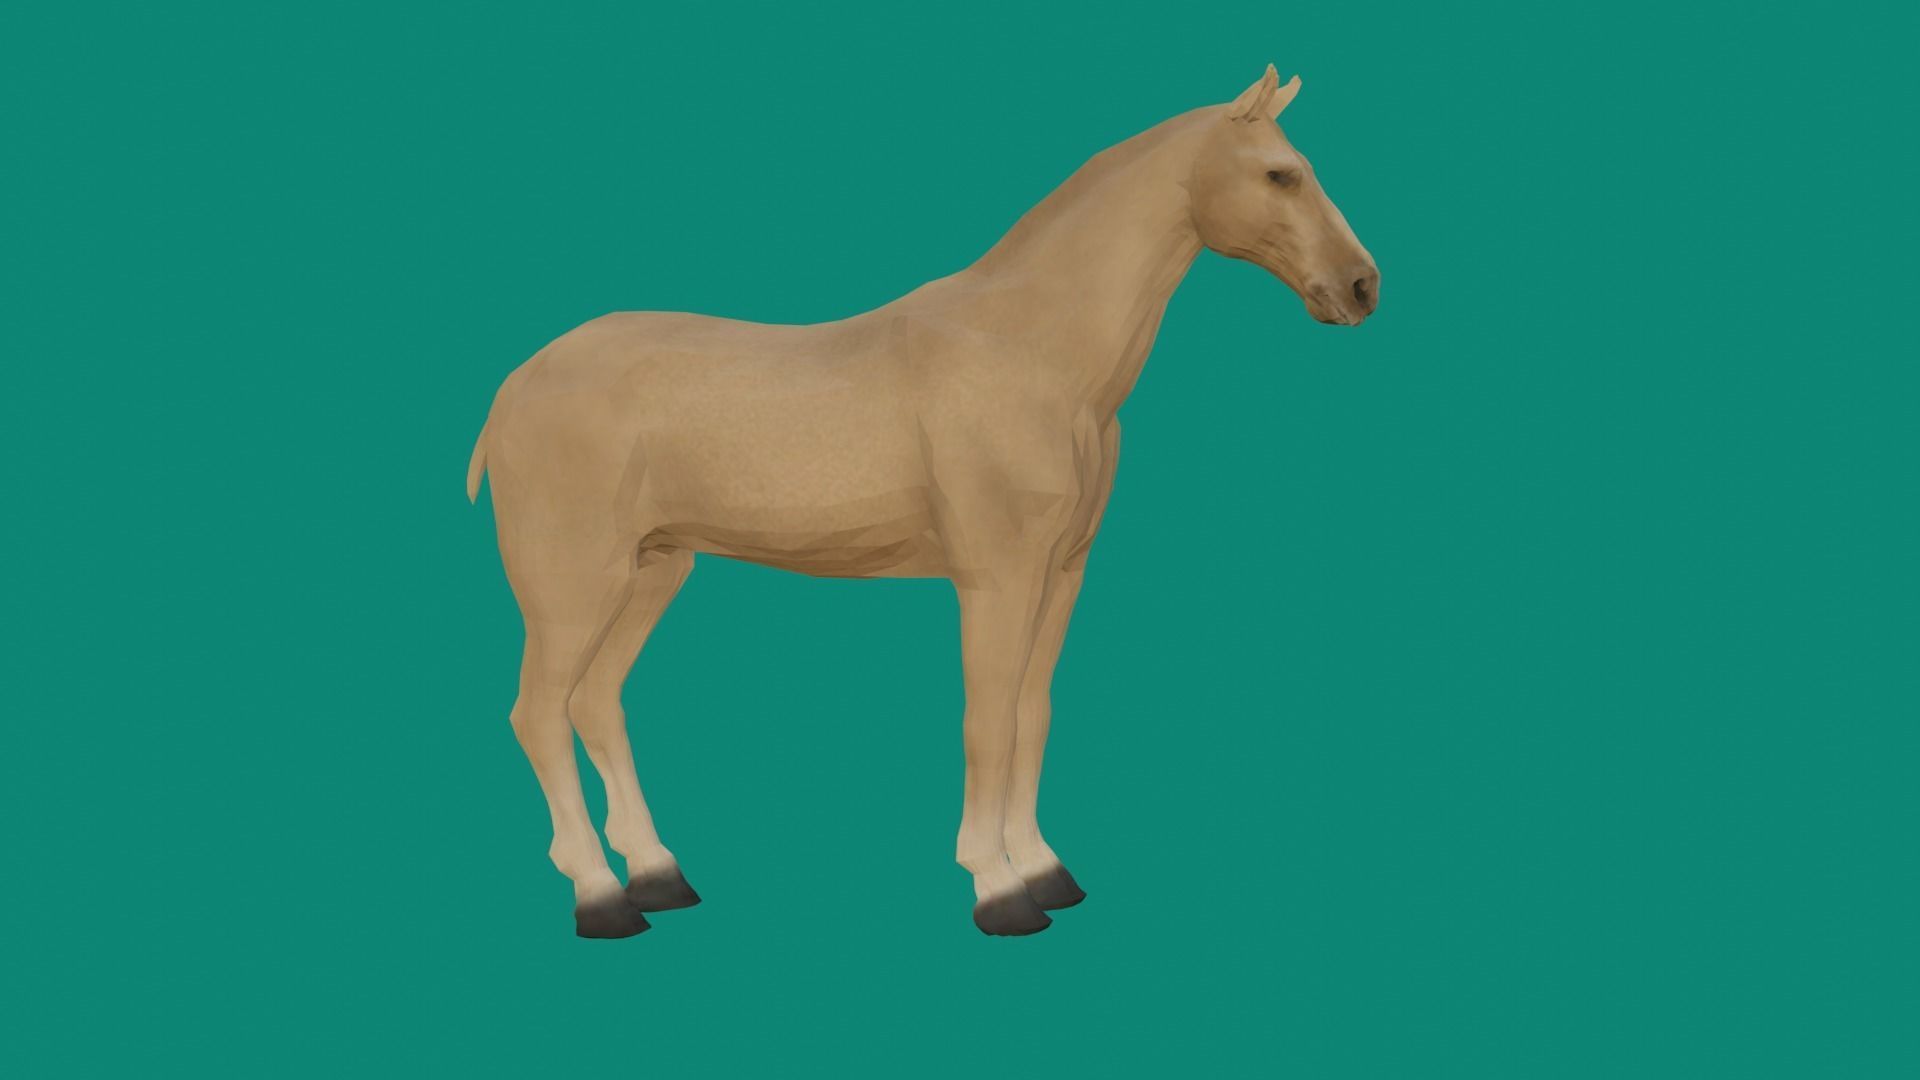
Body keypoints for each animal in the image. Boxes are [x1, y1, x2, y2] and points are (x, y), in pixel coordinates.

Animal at [467, 64, 1378, 938]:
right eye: (1282, 174)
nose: (1362, 287)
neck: (1036, 352)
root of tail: (512, 388)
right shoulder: (996, 579)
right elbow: (989, 722)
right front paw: (999, 889)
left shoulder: (1062, 575)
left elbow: (1033, 714)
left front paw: (1045, 869)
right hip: (574, 589)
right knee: (538, 714)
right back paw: (601, 898)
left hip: (652, 571)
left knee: (594, 702)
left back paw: (657, 875)